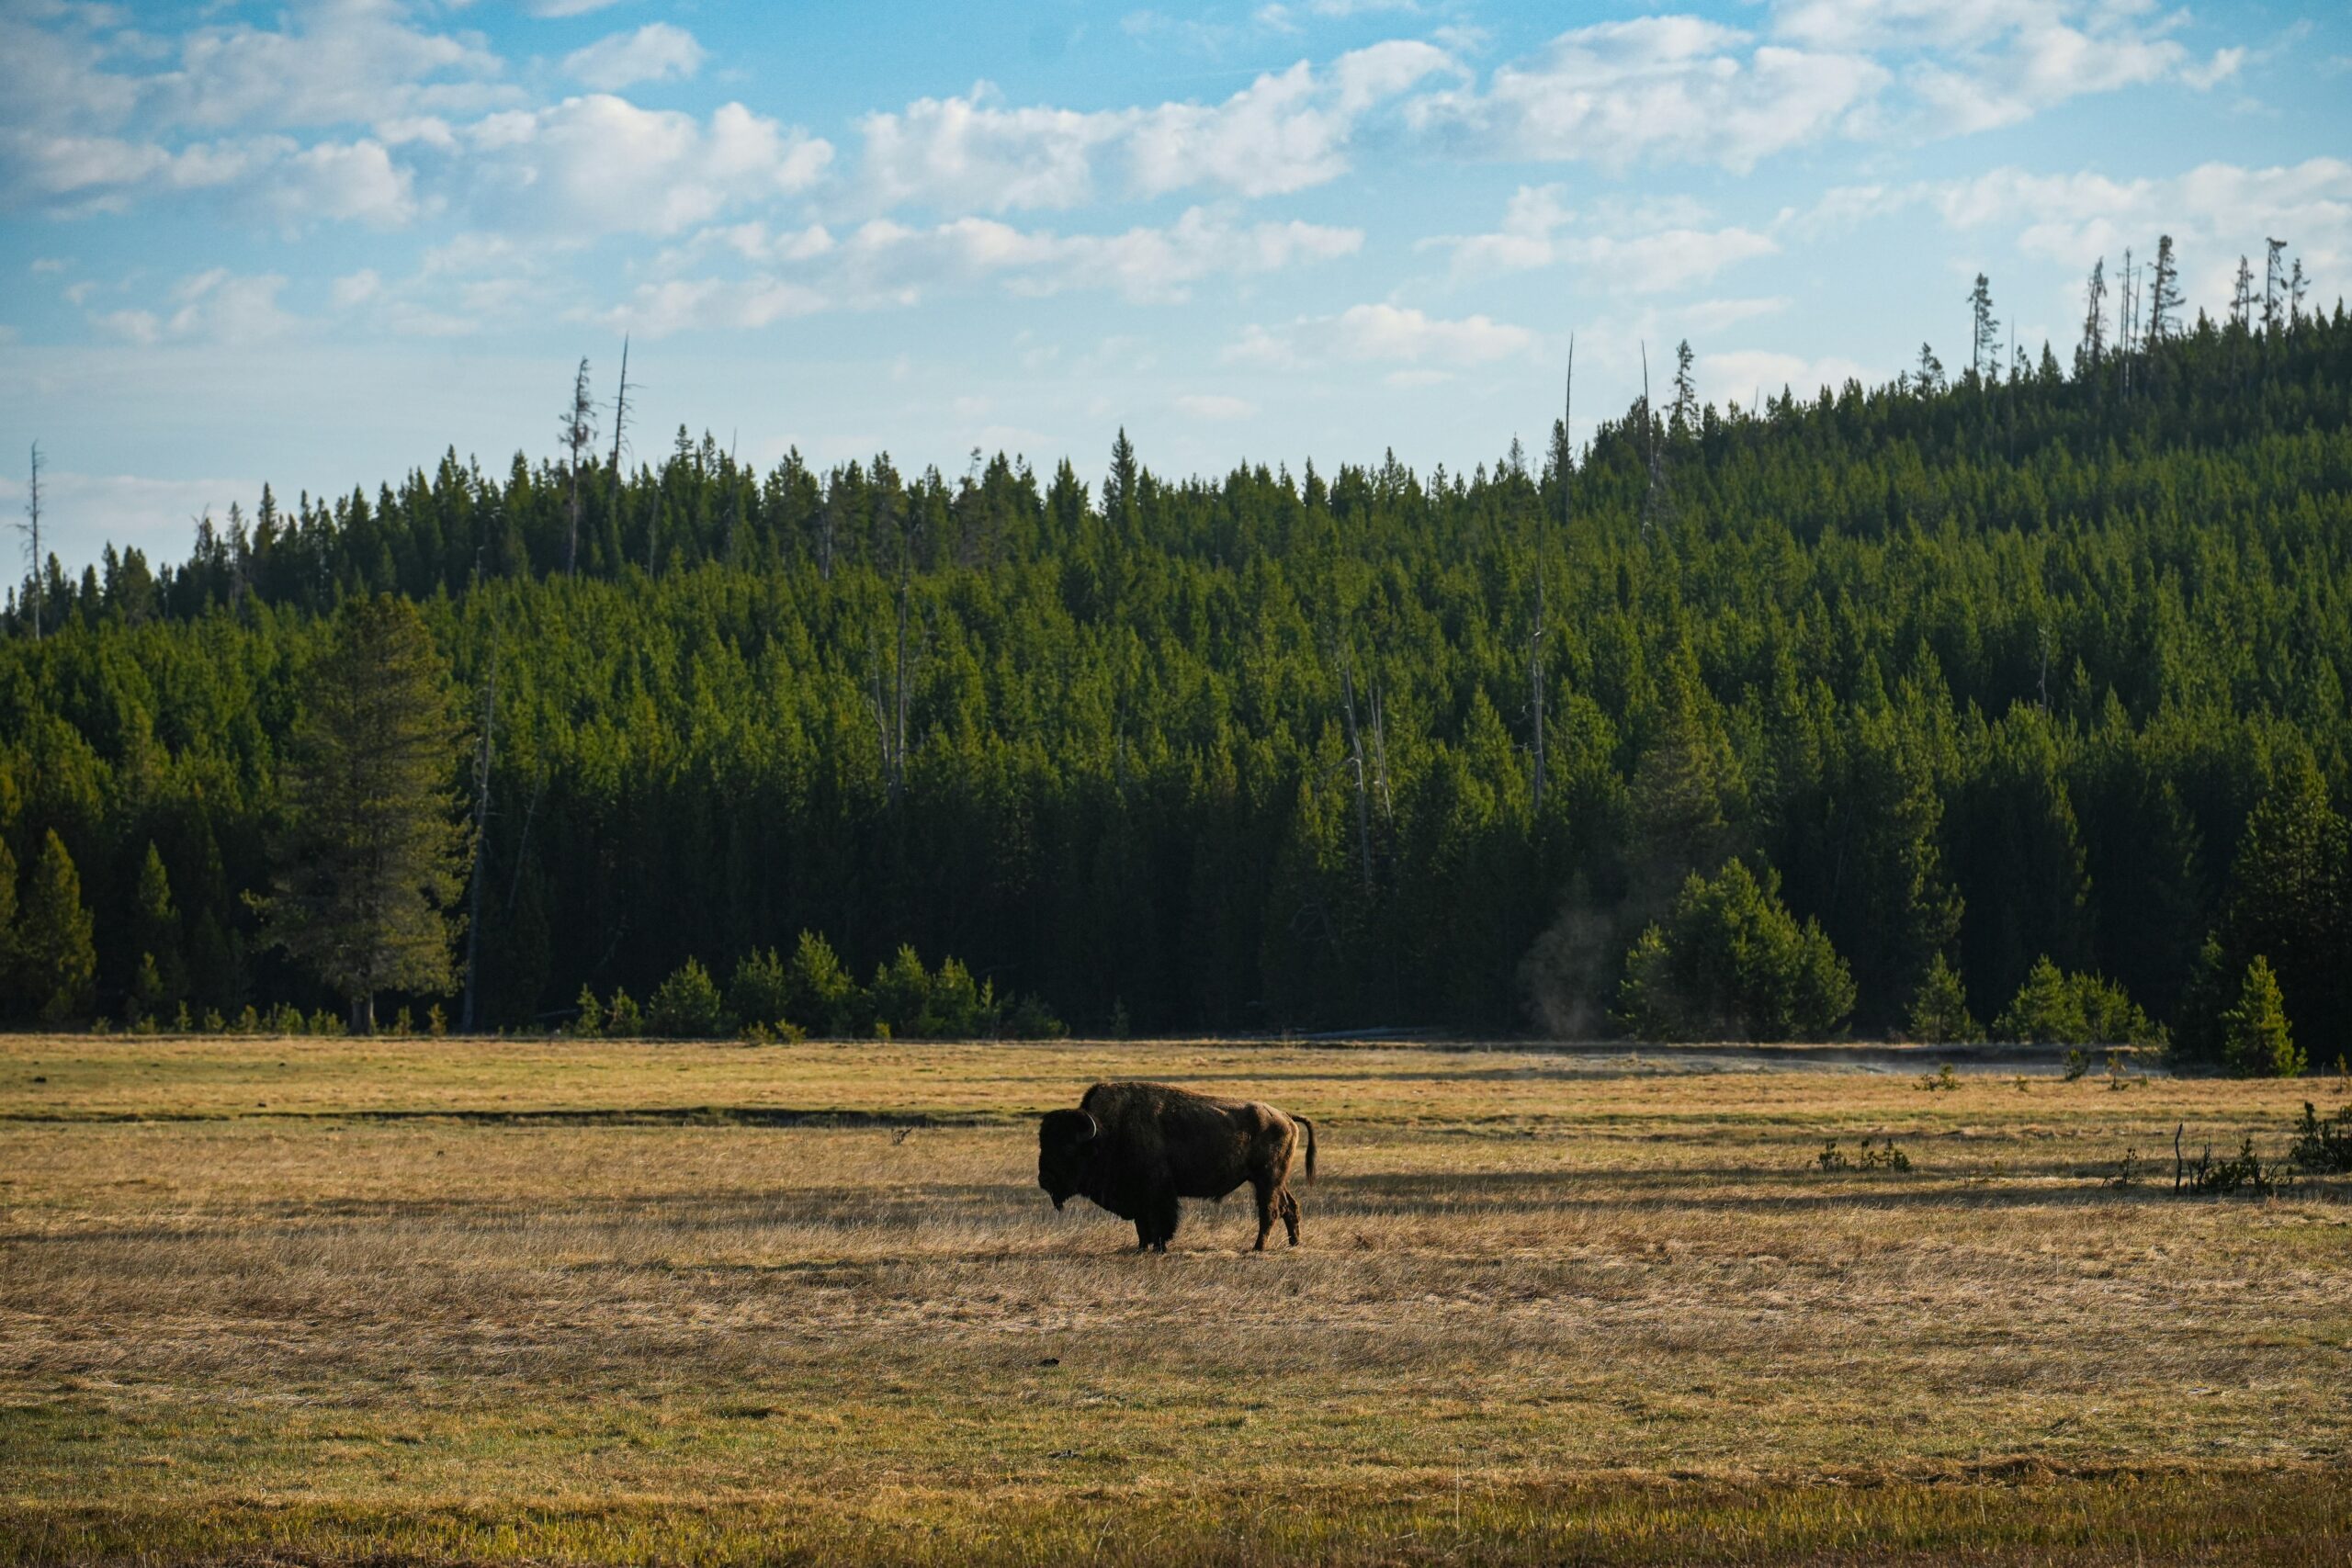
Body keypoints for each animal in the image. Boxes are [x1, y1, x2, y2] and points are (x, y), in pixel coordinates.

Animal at [1039, 1081, 1317, 1250]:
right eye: (1043, 1143)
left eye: (1067, 1148)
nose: (1044, 1179)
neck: (1106, 1132)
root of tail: (1286, 1116)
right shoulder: (1139, 1197)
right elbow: (1141, 1224)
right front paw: (1141, 1248)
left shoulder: (1158, 1191)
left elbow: (1160, 1221)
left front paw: (1160, 1248)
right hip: (1273, 1180)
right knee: (1290, 1206)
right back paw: (1294, 1243)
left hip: (1267, 1179)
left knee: (1270, 1211)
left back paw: (1258, 1247)